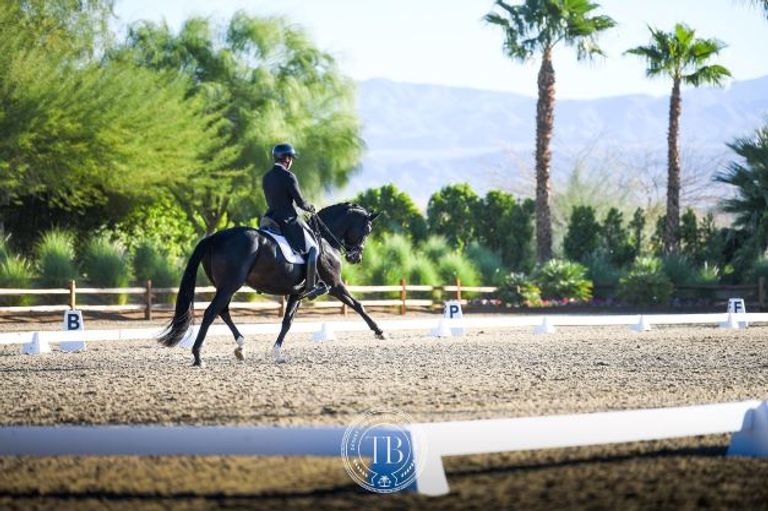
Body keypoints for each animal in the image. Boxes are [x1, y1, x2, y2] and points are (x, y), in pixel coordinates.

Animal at [158, 202, 384, 366]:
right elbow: (358, 305)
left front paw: (277, 352)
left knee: (223, 311)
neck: (325, 241)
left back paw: (240, 347)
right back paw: (198, 356)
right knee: (211, 312)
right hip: (230, 285)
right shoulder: (335, 285)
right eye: (367, 229)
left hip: (226, 286)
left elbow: (287, 322)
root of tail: (215, 237)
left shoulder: (297, 293)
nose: (356, 257)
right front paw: (379, 331)